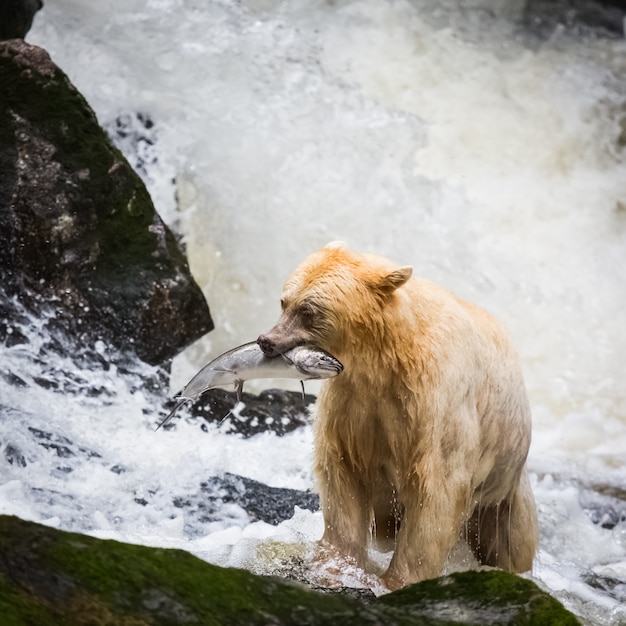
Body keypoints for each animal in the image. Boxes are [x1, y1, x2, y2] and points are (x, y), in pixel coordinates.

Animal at [256, 241, 532, 588]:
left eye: (308, 311)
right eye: (284, 302)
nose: (266, 340)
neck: (380, 356)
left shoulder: (432, 398)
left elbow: (437, 486)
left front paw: (398, 581)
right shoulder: (352, 403)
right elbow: (341, 474)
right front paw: (335, 566)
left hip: (503, 487)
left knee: (510, 540)